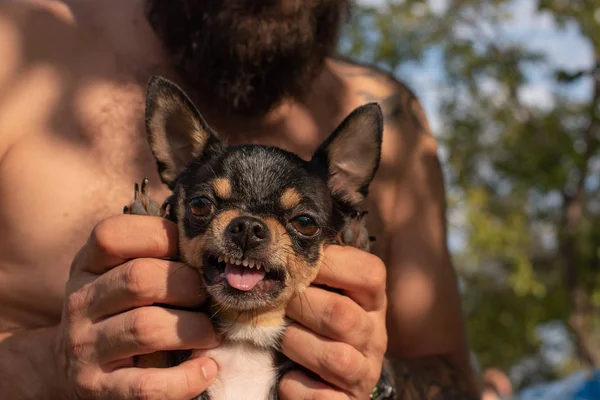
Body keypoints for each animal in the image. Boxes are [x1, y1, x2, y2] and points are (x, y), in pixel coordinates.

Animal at [124, 76, 384, 400]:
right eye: (200, 205)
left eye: (305, 223)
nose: (248, 226)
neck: (246, 331)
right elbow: (153, 356)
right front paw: (145, 216)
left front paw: (350, 241)